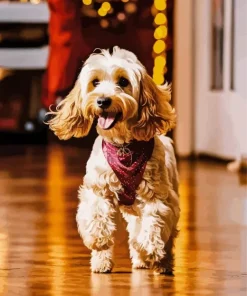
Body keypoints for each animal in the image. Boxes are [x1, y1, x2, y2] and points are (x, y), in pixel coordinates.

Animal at [46, 46, 179, 276]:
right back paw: (105, 262)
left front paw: (151, 248)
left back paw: (161, 262)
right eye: (95, 82)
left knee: (161, 236)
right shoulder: (98, 190)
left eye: (123, 81)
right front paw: (99, 241)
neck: (124, 147)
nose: (103, 100)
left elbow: (154, 222)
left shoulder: (157, 196)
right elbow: (98, 218)